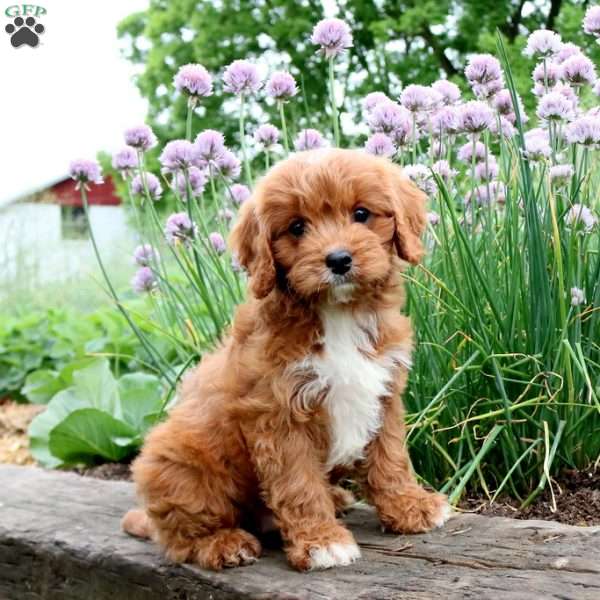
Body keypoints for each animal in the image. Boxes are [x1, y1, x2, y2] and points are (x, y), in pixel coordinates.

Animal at [122, 148, 450, 568]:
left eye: (361, 214)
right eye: (296, 227)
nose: (338, 259)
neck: (337, 314)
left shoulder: (383, 393)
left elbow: (390, 458)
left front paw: (410, 507)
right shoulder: (278, 416)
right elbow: (299, 484)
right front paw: (322, 541)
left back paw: (336, 497)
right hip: (180, 467)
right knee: (181, 538)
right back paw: (223, 543)